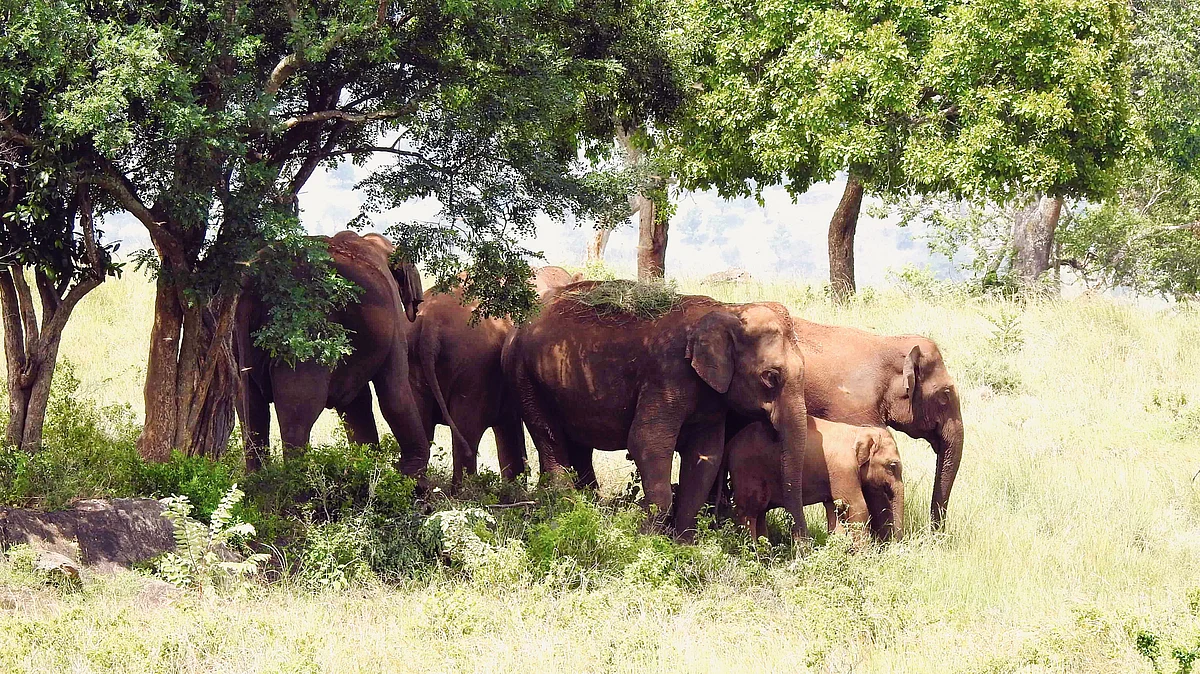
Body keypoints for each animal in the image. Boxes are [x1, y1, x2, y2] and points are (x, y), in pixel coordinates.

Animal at [235, 231, 429, 475]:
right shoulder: (394, 319)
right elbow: (394, 393)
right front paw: (410, 476)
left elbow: (357, 403)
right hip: (306, 333)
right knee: (299, 410)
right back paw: (297, 482)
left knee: (252, 406)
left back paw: (259, 480)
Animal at [502, 282, 809, 541]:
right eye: (770, 377)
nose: (802, 546)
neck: (728, 309)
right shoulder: (667, 375)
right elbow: (646, 442)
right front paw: (645, 538)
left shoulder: (710, 400)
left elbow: (706, 455)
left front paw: (684, 545)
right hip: (524, 377)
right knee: (549, 437)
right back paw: (564, 508)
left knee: (577, 445)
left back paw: (585, 506)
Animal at [728, 417, 903, 543]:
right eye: (892, 465)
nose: (896, 544)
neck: (859, 431)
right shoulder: (843, 470)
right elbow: (857, 506)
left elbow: (834, 509)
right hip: (747, 473)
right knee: (749, 512)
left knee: (760, 513)